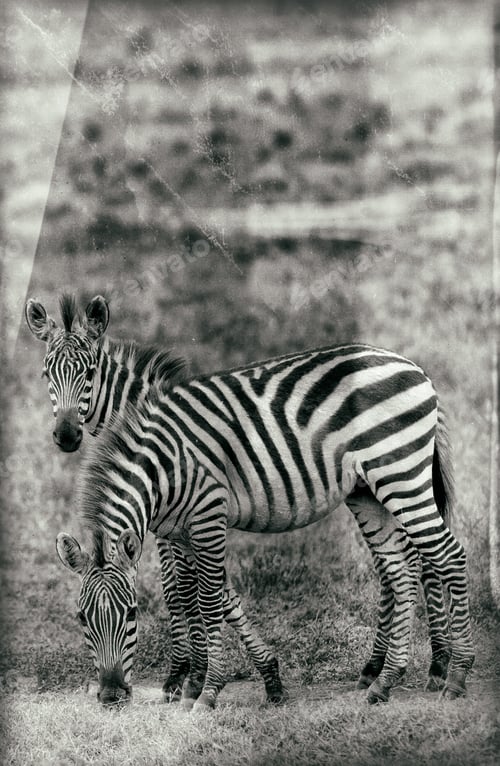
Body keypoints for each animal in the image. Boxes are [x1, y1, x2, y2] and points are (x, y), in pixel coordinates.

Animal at [27, 295, 454, 700]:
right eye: (47, 373)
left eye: (89, 373)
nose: (66, 435)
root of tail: (411, 365)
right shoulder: (172, 523)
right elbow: (208, 592)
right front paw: (254, 676)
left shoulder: (179, 522)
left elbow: (181, 591)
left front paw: (186, 677)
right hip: (367, 487)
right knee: (401, 562)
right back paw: (389, 667)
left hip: (396, 472)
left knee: (425, 554)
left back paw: (438, 666)